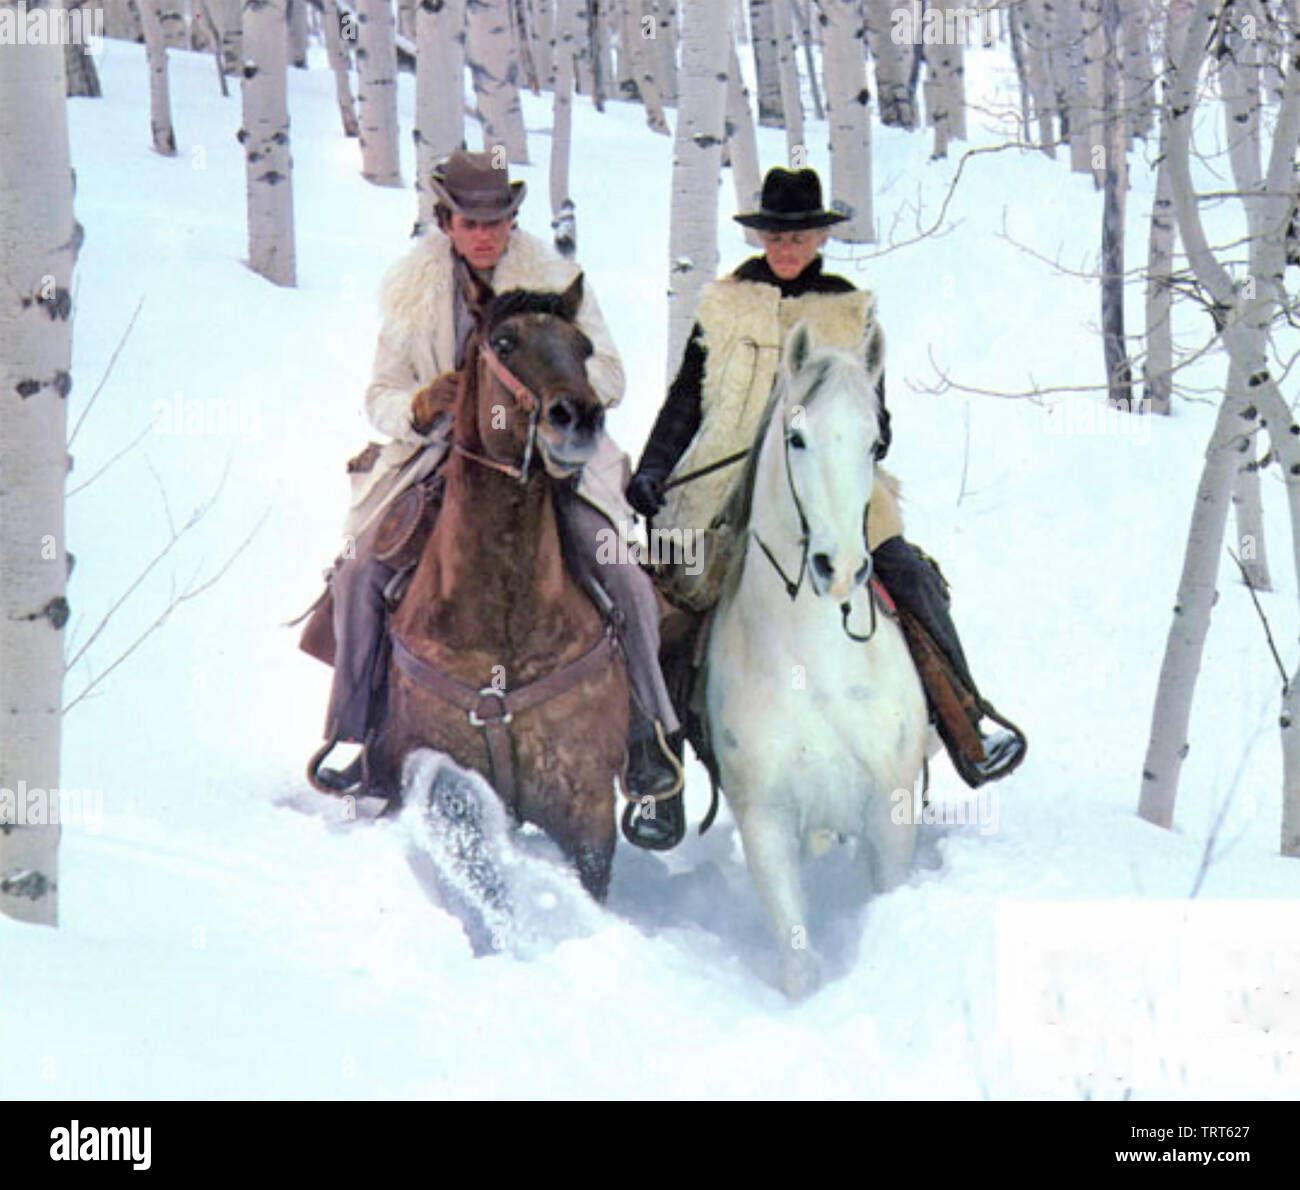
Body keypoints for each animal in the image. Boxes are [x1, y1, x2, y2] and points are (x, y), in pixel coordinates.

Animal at [369, 274, 631, 899]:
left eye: (584, 346)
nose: (578, 416)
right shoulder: (437, 770)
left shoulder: (587, 812)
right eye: (506, 343)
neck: (502, 626)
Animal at [707, 321, 930, 998]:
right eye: (796, 438)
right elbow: (799, 961)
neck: (817, 668)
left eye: (874, 442)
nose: (841, 570)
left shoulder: (889, 811)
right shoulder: (767, 822)